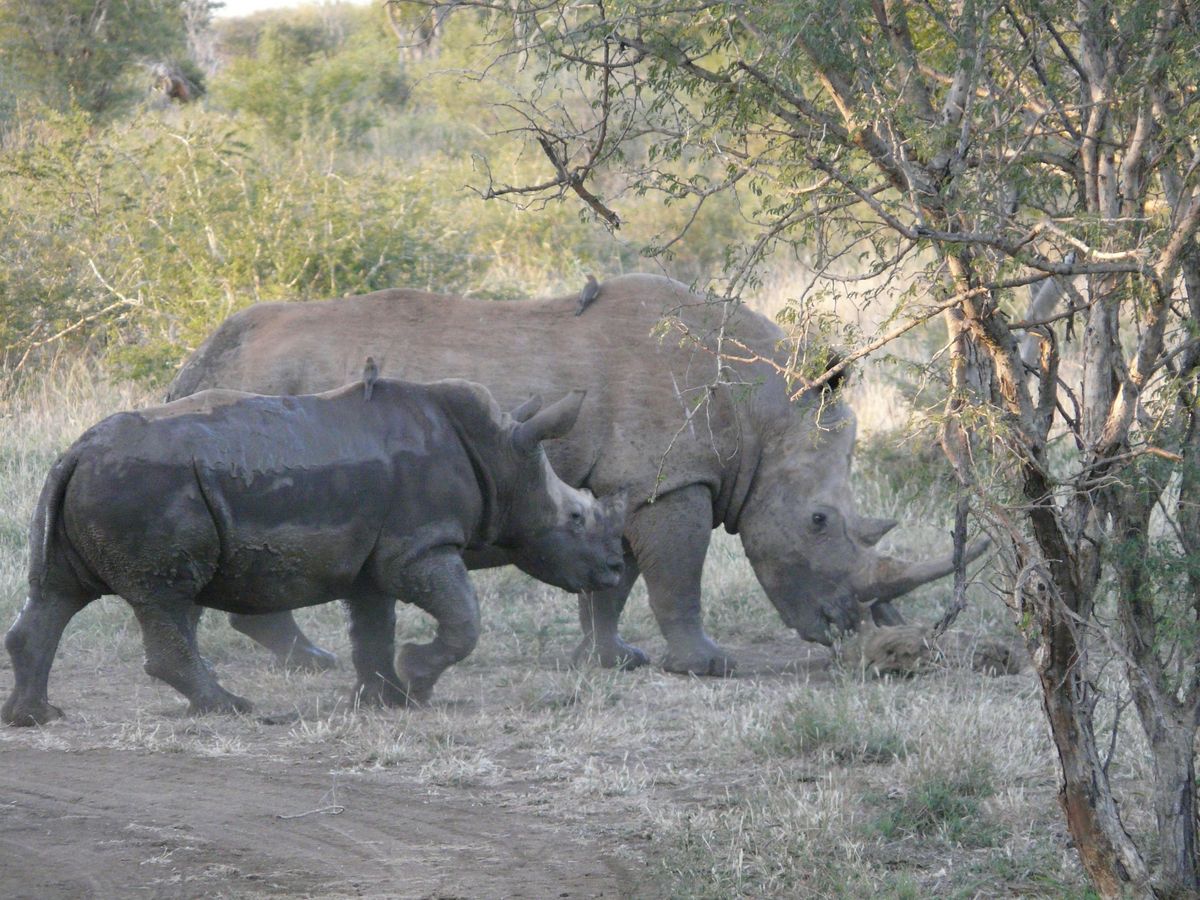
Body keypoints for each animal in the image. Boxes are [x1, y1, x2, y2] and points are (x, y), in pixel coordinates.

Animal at [2, 379, 626, 726]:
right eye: (576, 519)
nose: (616, 568)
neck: (504, 458)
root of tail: (75, 452)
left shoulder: (377, 559)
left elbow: (373, 629)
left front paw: (385, 699)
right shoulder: (420, 545)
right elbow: (463, 620)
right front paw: (417, 680)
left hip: (98, 479)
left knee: (58, 594)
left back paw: (36, 717)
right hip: (144, 484)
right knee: (169, 599)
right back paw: (231, 708)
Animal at [168, 273, 984, 676]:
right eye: (817, 522)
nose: (845, 629)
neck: (763, 412)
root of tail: (201, 358)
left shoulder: (628, 480)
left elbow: (614, 578)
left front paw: (612, 661)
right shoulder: (670, 478)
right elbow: (677, 576)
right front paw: (709, 666)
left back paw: (305, 660)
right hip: (265, 404)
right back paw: (307, 663)